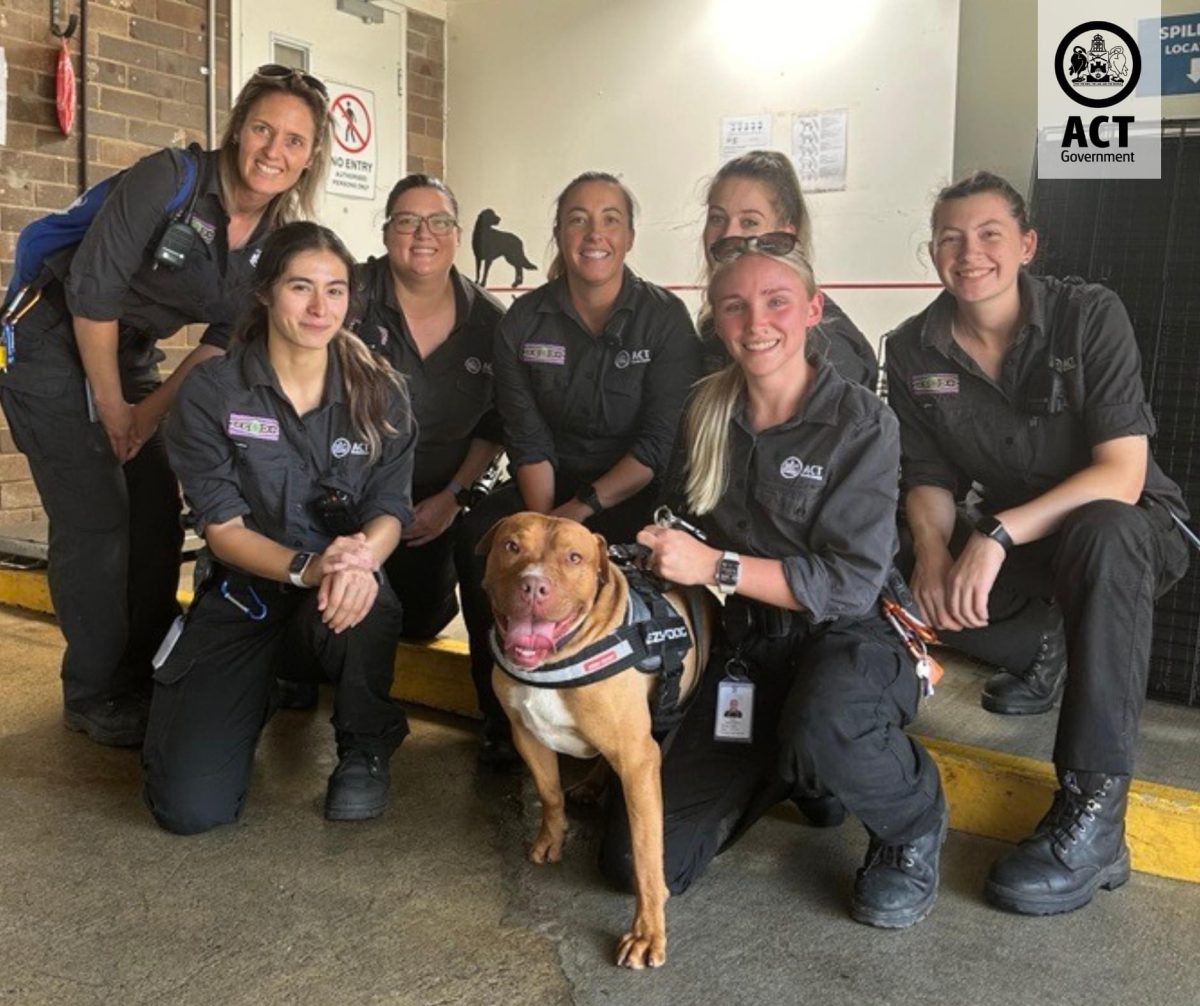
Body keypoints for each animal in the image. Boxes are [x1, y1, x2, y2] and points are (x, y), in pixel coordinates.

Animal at [475, 516, 710, 974]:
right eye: (511, 546)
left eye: (574, 557)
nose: (534, 585)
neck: (556, 661)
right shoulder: (525, 732)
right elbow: (548, 792)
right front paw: (551, 837)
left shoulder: (639, 759)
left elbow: (645, 853)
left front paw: (646, 932)